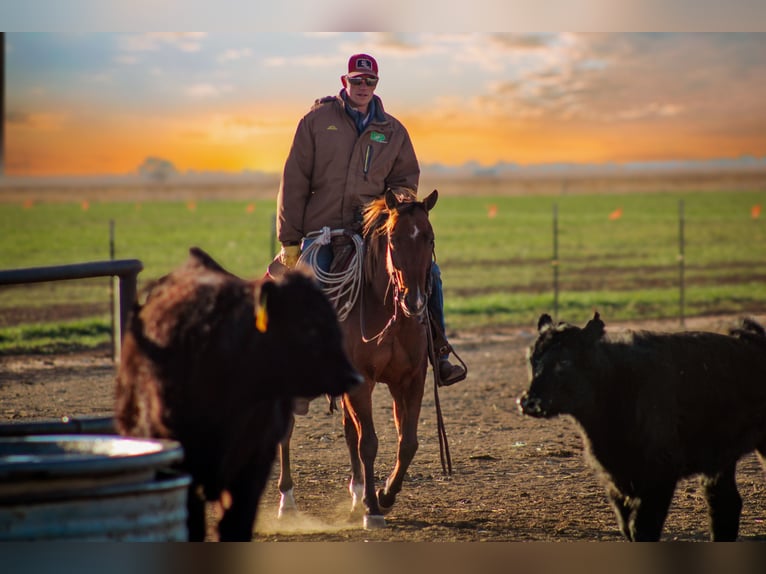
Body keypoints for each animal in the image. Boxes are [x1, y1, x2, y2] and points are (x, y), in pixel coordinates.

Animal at [277, 188, 439, 529]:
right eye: (394, 238)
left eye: (429, 238)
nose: (415, 301)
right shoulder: (362, 382)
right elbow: (369, 443)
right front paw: (372, 509)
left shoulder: (410, 379)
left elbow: (407, 442)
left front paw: (384, 495)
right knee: (287, 431)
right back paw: (287, 502)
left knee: (350, 431)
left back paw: (356, 495)